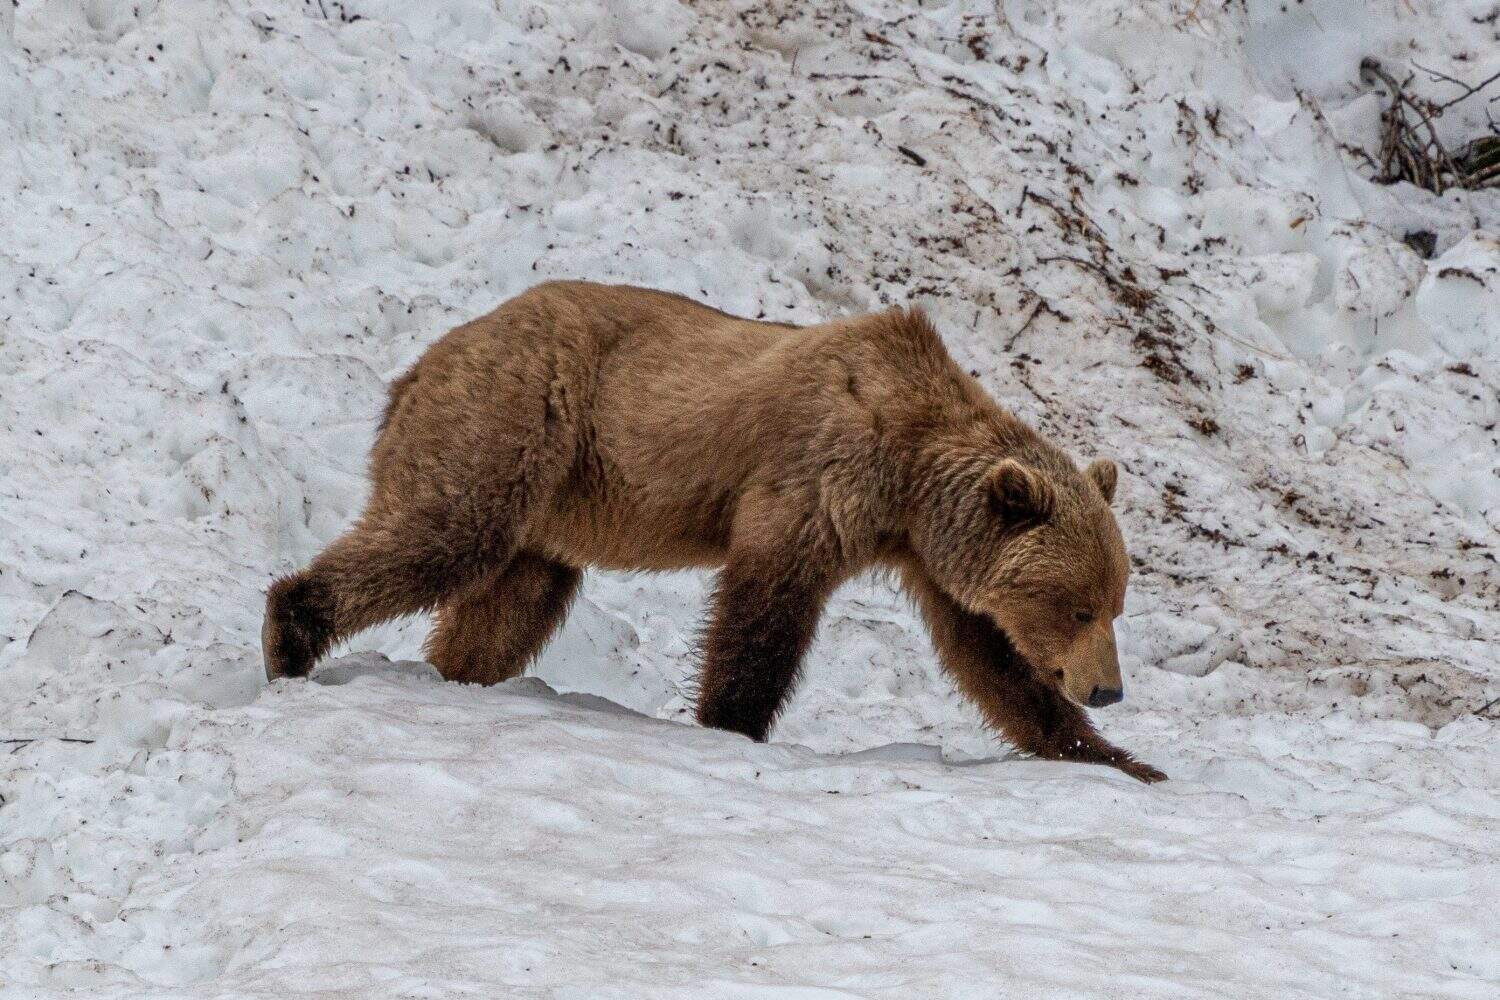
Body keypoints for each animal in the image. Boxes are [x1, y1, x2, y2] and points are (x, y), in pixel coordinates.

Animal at [263, 280, 1164, 783]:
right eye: (1081, 605)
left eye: (1115, 602)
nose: (1107, 689)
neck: (908, 471)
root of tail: (420, 365)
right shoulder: (815, 478)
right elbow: (763, 613)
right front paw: (732, 724)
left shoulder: (935, 556)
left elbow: (993, 663)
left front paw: (1119, 759)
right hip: (517, 417)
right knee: (442, 532)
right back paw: (291, 633)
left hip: (552, 505)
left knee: (509, 604)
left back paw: (457, 676)